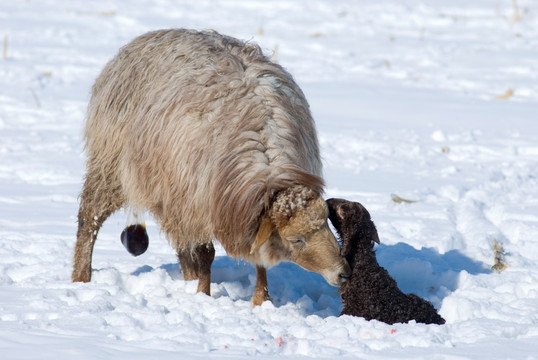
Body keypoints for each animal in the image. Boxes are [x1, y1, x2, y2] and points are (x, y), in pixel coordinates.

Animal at [71, 28, 350, 306]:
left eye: (327, 224)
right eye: (297, 239)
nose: (343, 273)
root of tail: (149, 35)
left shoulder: (240, 210)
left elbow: (257, 254)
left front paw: (261, 300)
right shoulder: (198, 202)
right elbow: (207, 254)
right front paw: (203, 295)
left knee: (182, 243)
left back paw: (188, 279)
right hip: (113, 164)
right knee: (90, 217)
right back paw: (81, 277)